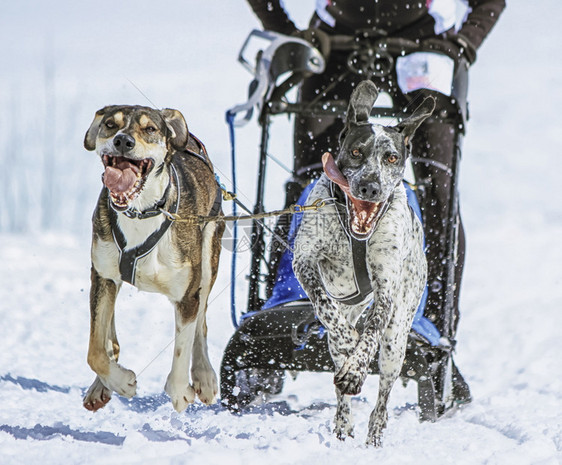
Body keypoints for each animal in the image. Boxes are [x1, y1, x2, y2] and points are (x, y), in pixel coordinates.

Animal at [83, 104, 223, 410]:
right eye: (110, 124)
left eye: (150, 128)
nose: (123, 141)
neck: (140, 212)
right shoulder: (103, 276)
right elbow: (95, 351)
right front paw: (121, 381)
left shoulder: (187, 296)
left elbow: (183, 348)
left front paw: (181, 392)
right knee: (108, 337)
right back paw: (101, 385)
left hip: (208, 261)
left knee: (202, 325)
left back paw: (204, 376)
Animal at [290, 80, 430, 446]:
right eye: (356, 152)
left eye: (391, 157)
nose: (370, 186)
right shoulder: (305, 261)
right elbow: (325, 307)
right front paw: (348, 343)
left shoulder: (385, 292)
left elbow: (371, 332)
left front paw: (356, 368)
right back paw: (342, 423)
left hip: (397, 340)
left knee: (383, 394)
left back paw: (375, 433)